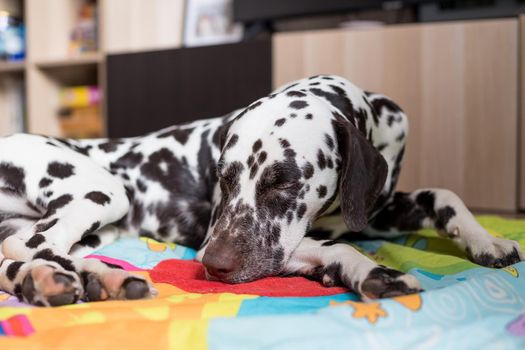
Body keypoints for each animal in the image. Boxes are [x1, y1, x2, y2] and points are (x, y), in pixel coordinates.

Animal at [0, 75, 520, 304]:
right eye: (223, 175)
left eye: (284, 180)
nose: (213, 266)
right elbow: (331, 246)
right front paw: (370, 270)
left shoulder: (379, 210)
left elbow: (445, 196)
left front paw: (487, 240)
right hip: (105, 191)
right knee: (30, 246)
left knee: (25, 255)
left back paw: (84, 279)